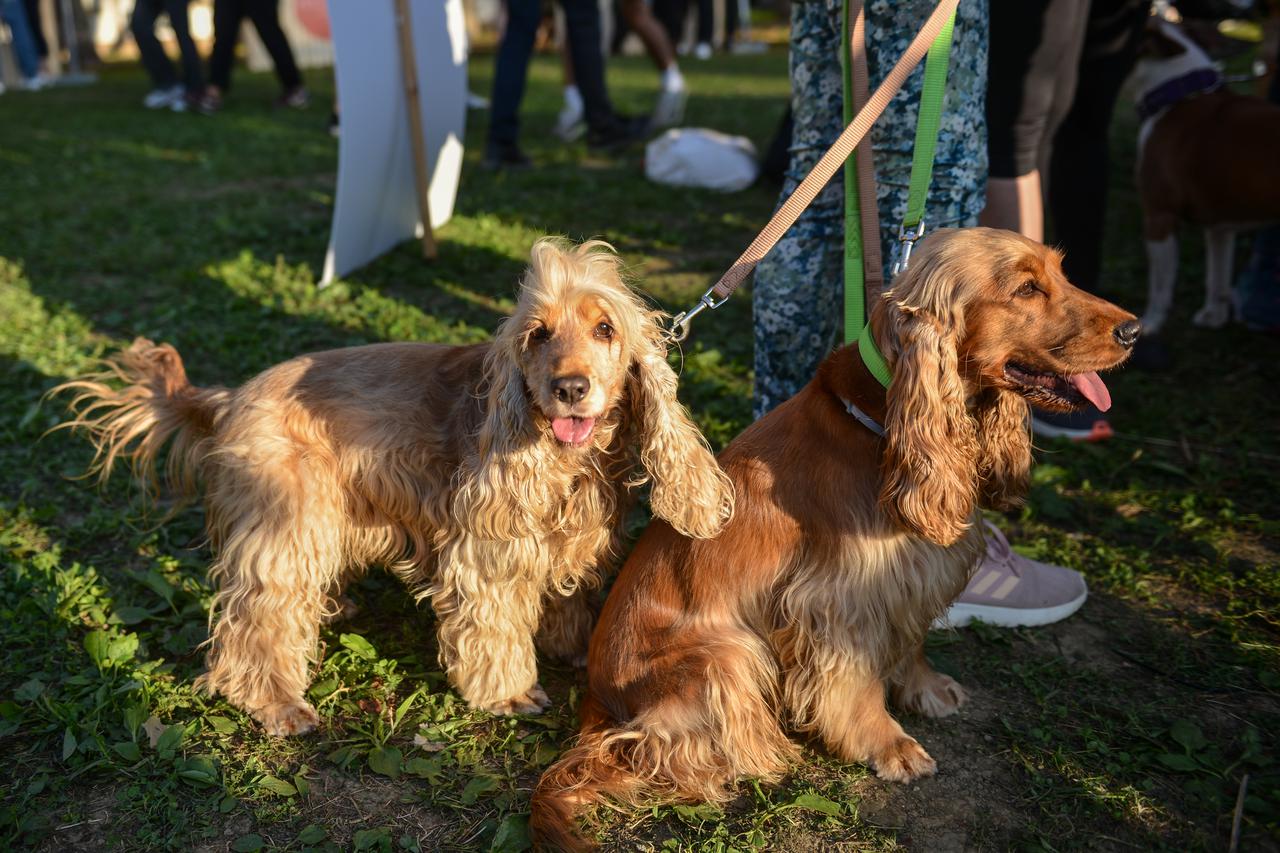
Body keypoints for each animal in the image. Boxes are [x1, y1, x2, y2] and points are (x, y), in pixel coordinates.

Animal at [55, 236, 737, 732]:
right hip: (286, 524)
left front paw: (571, 646)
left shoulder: (568, 542)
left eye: (605, 330)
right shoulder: (485, 552)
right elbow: (493, 628)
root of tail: (230, 397)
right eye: (537, 334)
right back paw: (278, 705)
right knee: (256, 626)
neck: (567, 465)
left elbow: (564, 599)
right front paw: (510, 693)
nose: (569, 387)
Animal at [529, 225, 1141, 845]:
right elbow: (856, 683)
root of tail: (595, 700)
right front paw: (889, 744)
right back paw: (763, 753)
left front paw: (927, 688)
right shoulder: (839, 600)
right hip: (724, 653)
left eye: (1060, 273)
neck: (884, 424)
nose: (1133, 330)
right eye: (1026, 289)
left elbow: (911, 641)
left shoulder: (909, 576)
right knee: (657, 749)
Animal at [1136, 14, 1280, 333]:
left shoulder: (1159, 215)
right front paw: (1214, 315)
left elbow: (1160, 286)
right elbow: (1217, 276)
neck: (1181, 93)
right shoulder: (1220, 226)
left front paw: (1150, 324)